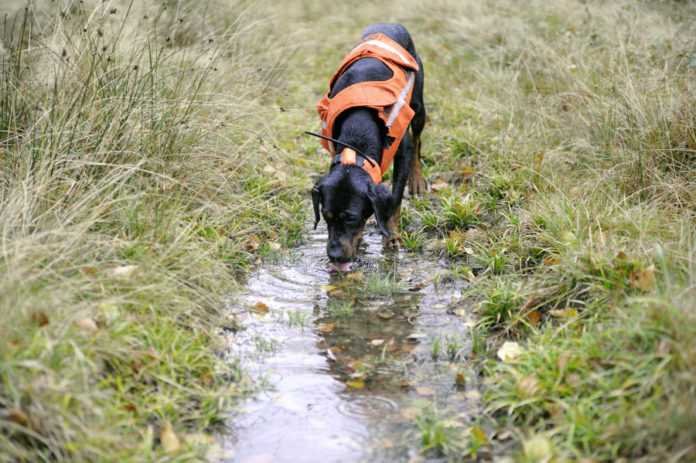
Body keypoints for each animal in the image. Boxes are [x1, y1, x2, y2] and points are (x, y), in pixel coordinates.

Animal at [310, 23, 424, 272]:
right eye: (326, 215)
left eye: (351, 217)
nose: (334, 255)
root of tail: (390, 24)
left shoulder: (402, 150)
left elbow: (395, 199)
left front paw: (391, 236)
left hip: (419, 104)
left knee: (418, 139)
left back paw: (418, 180)